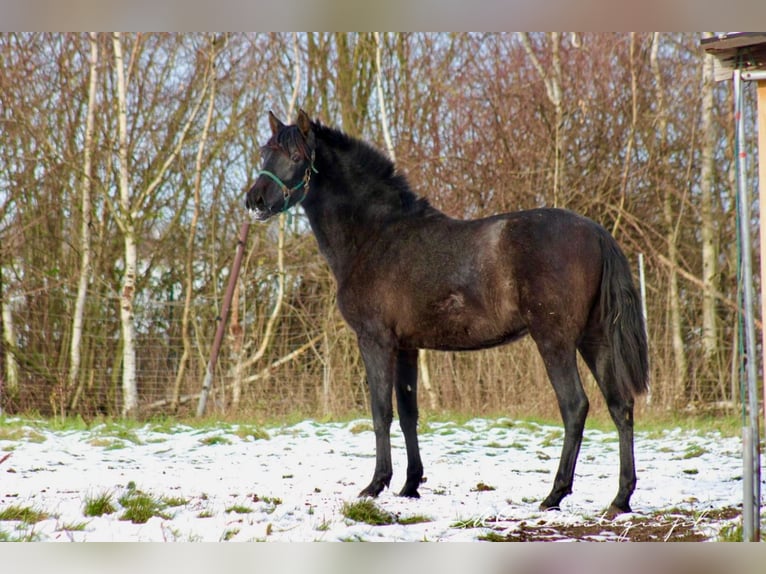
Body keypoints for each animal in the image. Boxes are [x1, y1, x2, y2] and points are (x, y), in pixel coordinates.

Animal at [244, 110, 648, 516]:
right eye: (265, 151)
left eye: (296, 157)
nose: (255, 200)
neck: (377, 236)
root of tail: (596, 232)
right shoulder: (406, 347)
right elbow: (409, 414)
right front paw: (410, 485)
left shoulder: (375, 340)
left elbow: (380, 411)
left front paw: (375, 485)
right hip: (594, 338)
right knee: (620, 405)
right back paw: (620, 498)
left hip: (555, 341)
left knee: (575, 406)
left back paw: (555, 494)